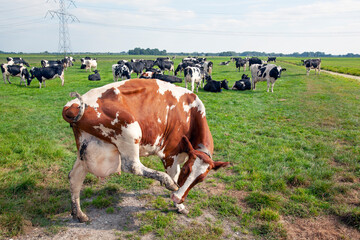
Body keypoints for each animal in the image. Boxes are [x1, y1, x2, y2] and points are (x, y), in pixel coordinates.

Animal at [62, 78, 229, 221]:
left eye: (200, 179)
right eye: (186, 170)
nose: (178, 197)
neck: (190, 113)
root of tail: (72, 105)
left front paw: (176, 197)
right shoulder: (170, 154)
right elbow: (174, 176)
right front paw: (177, 202)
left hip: (87, 147)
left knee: (75, 176)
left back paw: (79, 214)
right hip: (131, 130)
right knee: (132, 166)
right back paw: (165, 180)